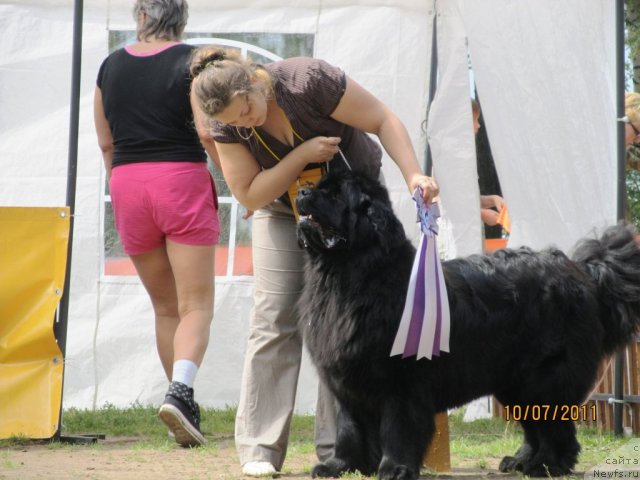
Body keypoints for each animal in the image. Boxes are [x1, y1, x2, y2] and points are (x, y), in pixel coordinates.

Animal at [296, 171, 640, 480]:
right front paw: (339, 466)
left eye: (336, 196)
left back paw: (546, 465)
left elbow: (398, 428)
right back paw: (521, 461)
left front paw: (395, 468)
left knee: (553, 425)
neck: (349, 277)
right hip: (514, 381)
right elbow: (348, 428)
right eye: (320, 186)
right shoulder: (344, 381)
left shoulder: (401, 381)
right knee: (533, 426)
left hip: (545, 378)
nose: (301, 191)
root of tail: (582, 271)